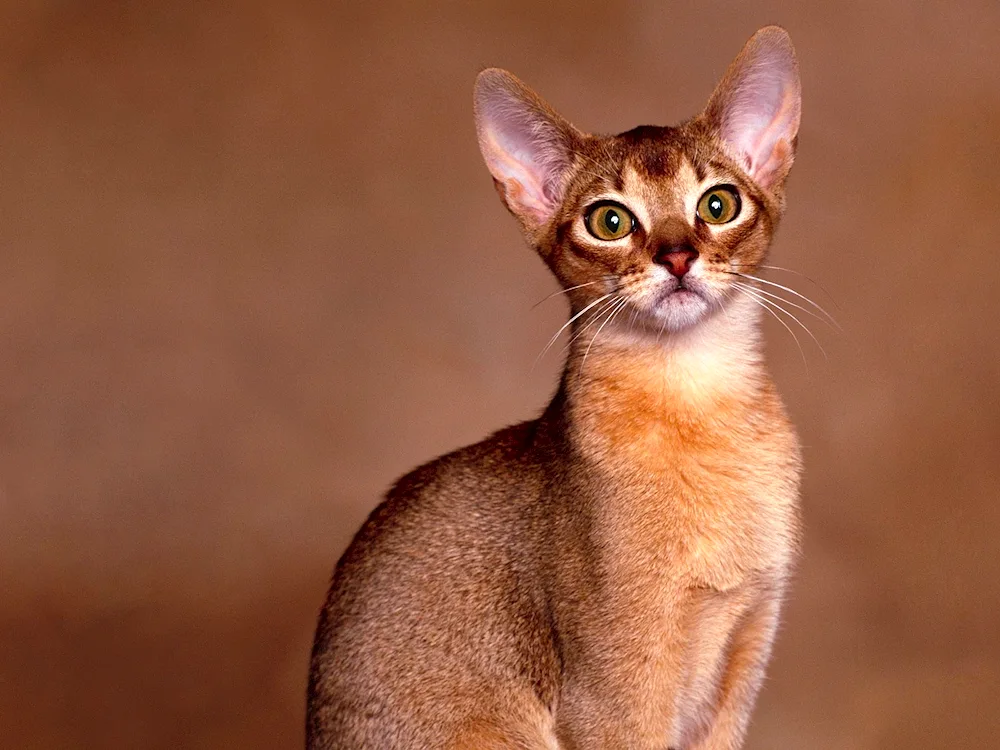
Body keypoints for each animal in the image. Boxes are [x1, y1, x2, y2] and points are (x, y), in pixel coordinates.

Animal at [310, 25, 804, 750]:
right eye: (610, 221)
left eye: (718, 204)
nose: (678, 256)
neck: (698, 412)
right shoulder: (614, 698)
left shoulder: (745, 652)